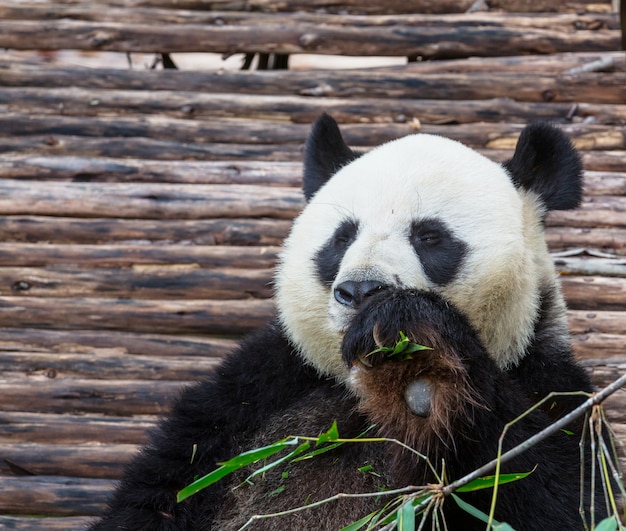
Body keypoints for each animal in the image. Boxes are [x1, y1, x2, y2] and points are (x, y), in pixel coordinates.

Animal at [90, 114, 604, 528]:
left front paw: (421, 364)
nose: (360, 291)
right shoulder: (253, 395)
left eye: (429, 236)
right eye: (342, 237)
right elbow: (161, 494)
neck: (360, 390)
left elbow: (561, 495)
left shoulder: (549, 384)